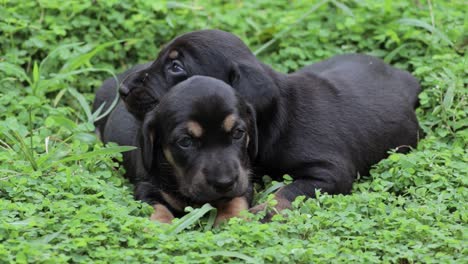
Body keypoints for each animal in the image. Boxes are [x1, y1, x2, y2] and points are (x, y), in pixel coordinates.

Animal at [98, 75, 256, 224]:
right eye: (185, 141)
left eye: (238, 133)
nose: (224, 183)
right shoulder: (146, 187)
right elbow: (158, 209)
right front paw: (163, 226)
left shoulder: (245, 179)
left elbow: (237, 200)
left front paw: (230, 219)